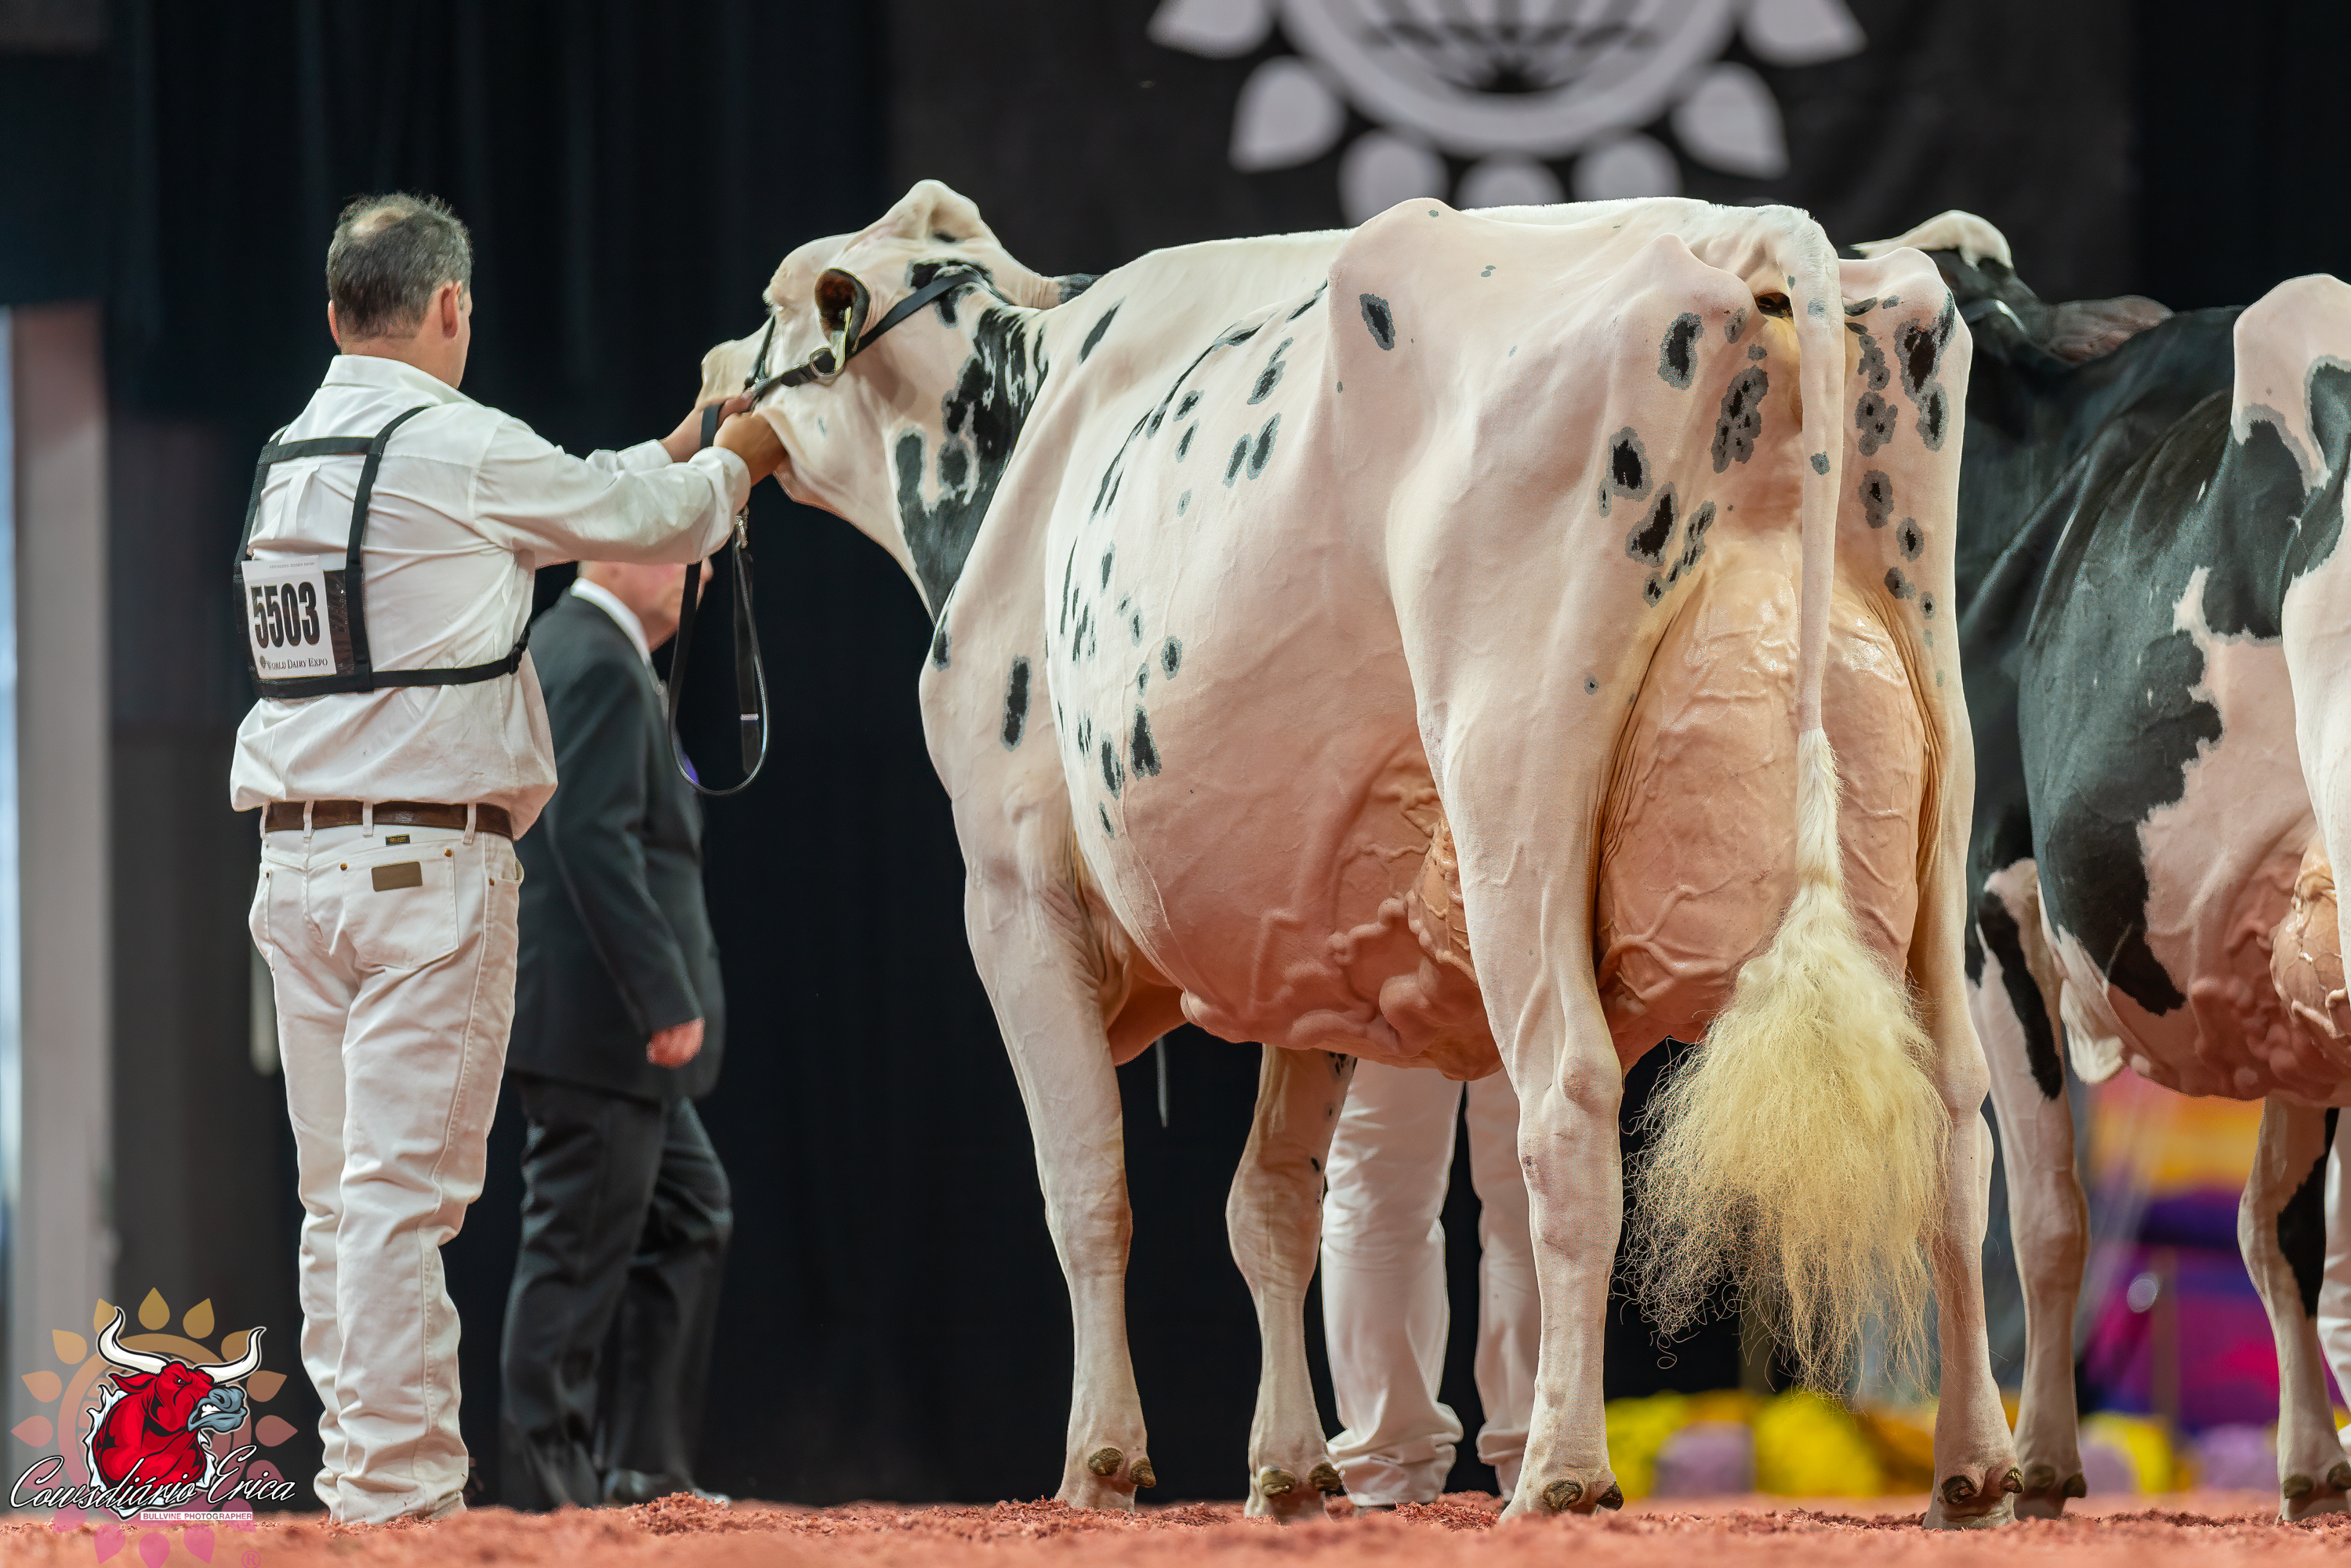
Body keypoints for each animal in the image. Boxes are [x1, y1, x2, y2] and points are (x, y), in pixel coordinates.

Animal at [704, 181, 2019, 1524]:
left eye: (770, 304)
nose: (709, 379)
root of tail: (1740, 233)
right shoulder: (1308, 932)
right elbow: (1272, 1205)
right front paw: (1287, 1470)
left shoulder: (1011, 889)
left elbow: (1086, 1189)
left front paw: (1100, 1460)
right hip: (1932, 782)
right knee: (1955, 1122)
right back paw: (1970, 1465)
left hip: (1511, 800)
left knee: (1566, 1106)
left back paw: (1559, 1468)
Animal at [1899, 207, 2351, 1521]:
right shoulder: (2290, 941)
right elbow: (2275, 1226)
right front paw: (2312, 1468)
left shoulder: (1990, 902)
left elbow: (2043, 1216)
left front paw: (2038, 1464)